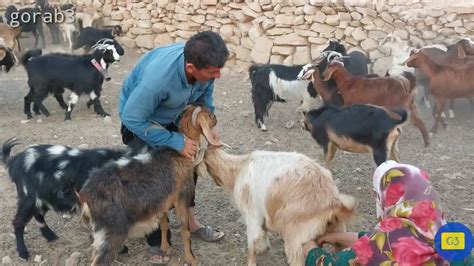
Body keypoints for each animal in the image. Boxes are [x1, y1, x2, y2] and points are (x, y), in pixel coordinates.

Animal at [0, 138, 129, 260]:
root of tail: (14, 161)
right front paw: (120, 249)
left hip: (44, 198)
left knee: (38, 214)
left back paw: (50, 236)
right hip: (29, 197)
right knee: (18, 222)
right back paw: (23, 253)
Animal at [78, 105, 218, 264]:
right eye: (209, 114)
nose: (215, 118)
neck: (178, 154)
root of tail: (84, 195)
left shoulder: (162, 201)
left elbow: (164, 224)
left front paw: (165, 248)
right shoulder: (182, 197)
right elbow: (185, 230)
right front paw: (191, 258)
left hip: (97, 232)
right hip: (111, 230)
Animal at [196, 138, 356, 264]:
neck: (238, 169)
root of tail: (332, 203)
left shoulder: (252, 215)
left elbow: (251, 244)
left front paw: (252, 260)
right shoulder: (263, 213)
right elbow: (264, 231)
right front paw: (264, 248)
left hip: (295, 236)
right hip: (336, 228)